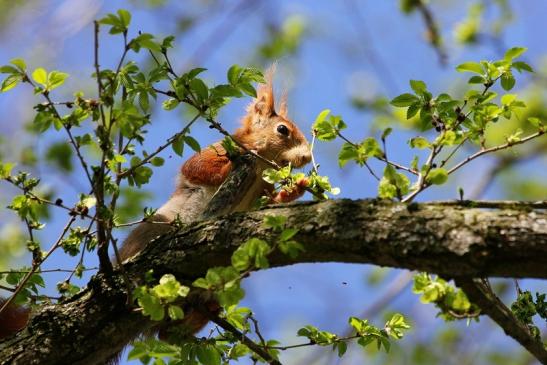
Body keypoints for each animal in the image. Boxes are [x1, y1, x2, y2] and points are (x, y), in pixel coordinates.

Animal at [0, 65, 312, 346]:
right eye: (283, 130)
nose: (307, 157)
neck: (259, 170)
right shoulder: (220, 149)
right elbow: (198, 168)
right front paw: (239, 161)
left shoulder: (261, 190)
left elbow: (269, 202)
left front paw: (296, 188)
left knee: (167, 334)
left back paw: (204, 313)